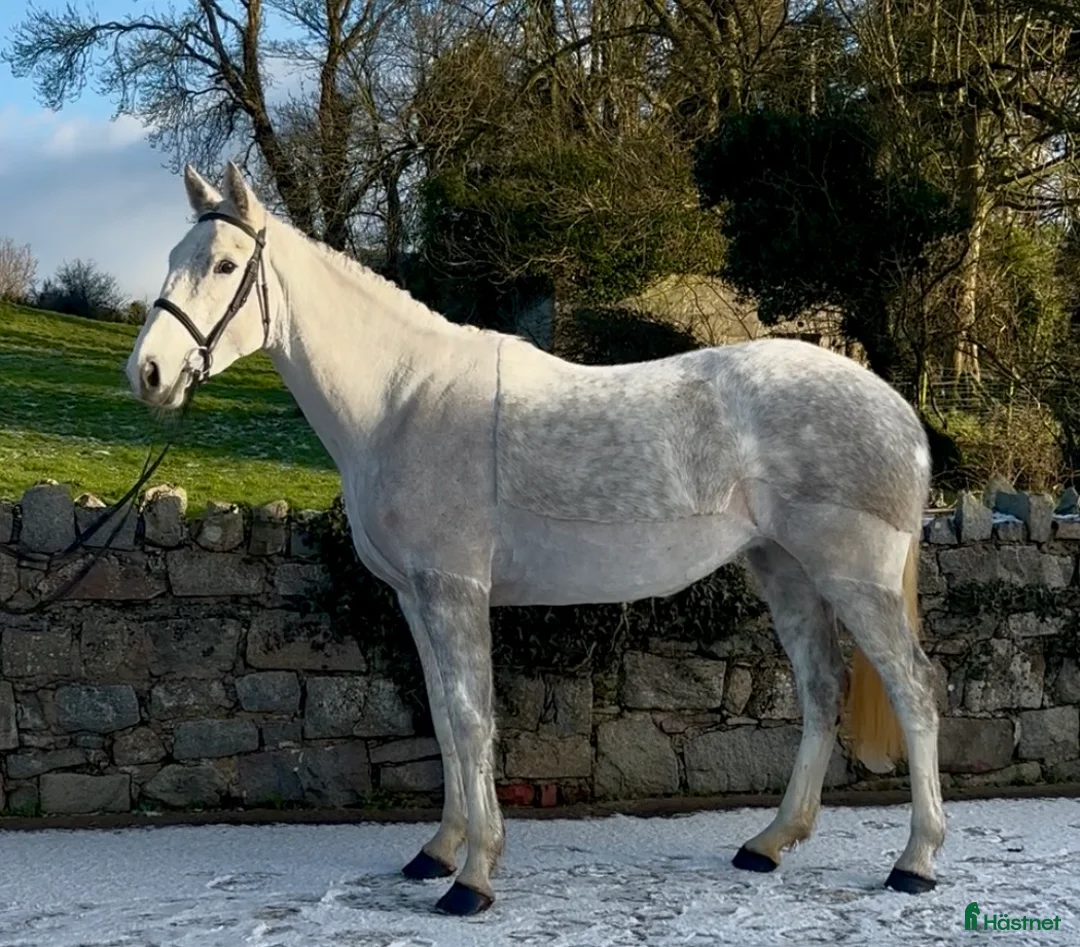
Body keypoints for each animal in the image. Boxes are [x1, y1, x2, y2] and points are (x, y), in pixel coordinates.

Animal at [125, 161, 945, 916]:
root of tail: (899, 410)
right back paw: (769, 843)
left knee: (915, 692)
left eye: (225, 264)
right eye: (173, 254)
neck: (401, 399)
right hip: (786, 572)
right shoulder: (416, 599)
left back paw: (915, 861)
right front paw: (438, 850)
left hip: (855, 580)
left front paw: (473, 877)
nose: (150, 374)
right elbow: (443, 718)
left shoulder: (455, 591)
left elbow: (471, 718)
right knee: (821, 690)